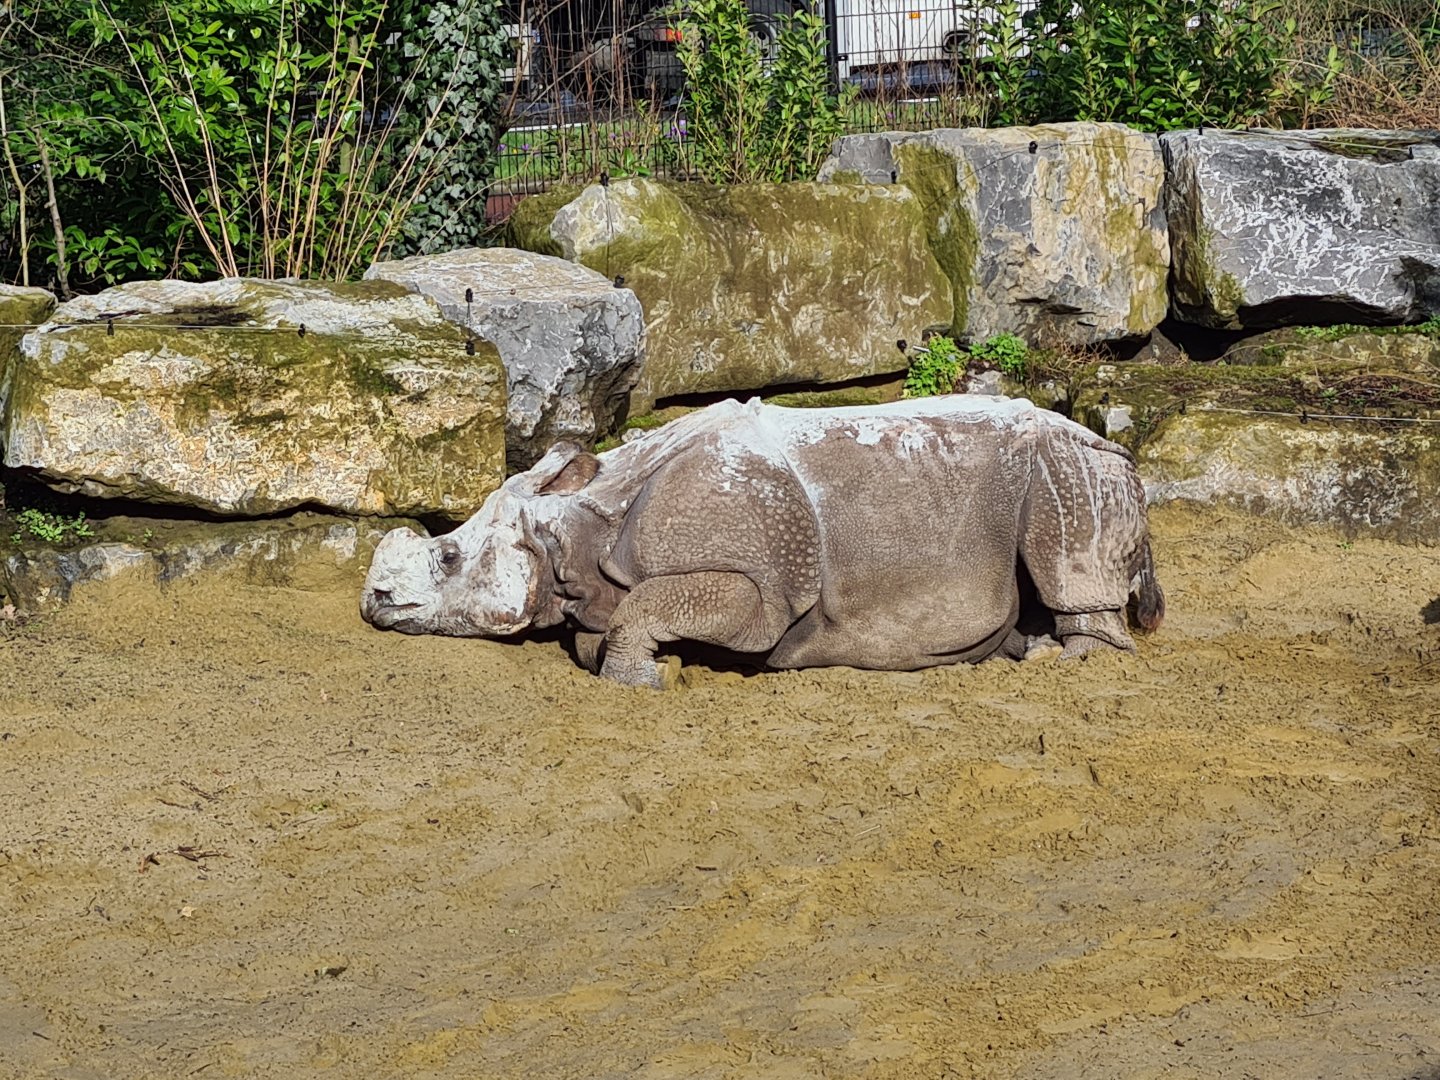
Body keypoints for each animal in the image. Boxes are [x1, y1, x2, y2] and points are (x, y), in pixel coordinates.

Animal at [360, 396, 1164, 688]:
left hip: (1068, 467)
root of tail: (1114, 448)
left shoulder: (762, 582)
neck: (580, 526)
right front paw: (651, 662)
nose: (372, 601)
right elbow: (608, 623)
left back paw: (1059, 659)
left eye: (447, 557)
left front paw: (642, 680)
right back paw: (1019, 647)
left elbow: (652, 606)